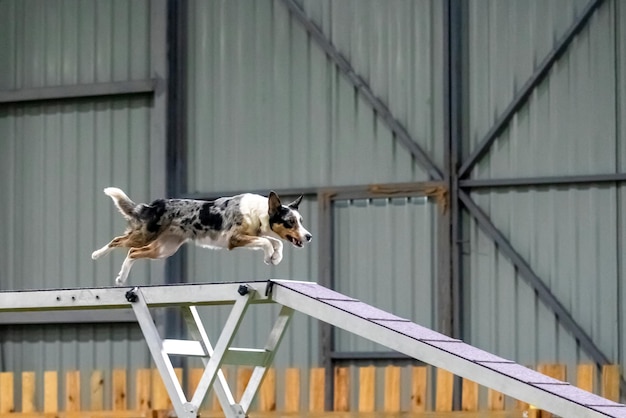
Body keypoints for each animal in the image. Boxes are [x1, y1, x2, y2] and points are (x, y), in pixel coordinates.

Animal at [91, 188, 310, 286]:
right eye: (290, 222)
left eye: (301, 220)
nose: (309, 237)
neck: (259, 212)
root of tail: (154, 205)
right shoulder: (234, 239)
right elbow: (267, 241)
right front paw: (269, 255)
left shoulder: (249, 236)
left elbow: (275, 241)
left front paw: (274, 257)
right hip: (145, 235)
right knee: (119, 241)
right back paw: (97, 255)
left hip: (163, 249)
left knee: (133, 252)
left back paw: (121, 277)